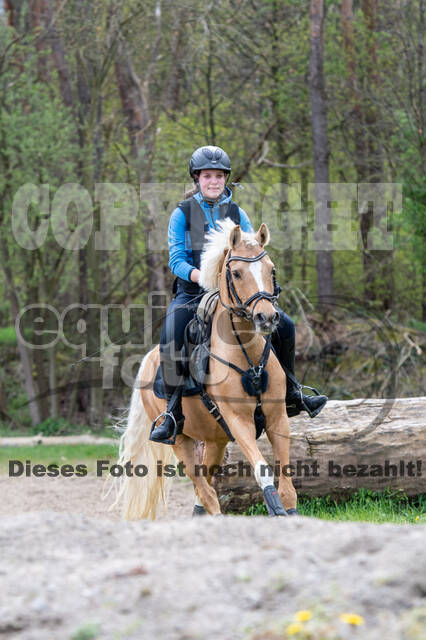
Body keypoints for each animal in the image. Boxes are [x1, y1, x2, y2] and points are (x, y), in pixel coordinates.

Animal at [115, 220, 298, 520]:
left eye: (271, 269)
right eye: (236, 273)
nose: (267, 318)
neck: (248, 356)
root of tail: (147, 360)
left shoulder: (277, 417)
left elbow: (286, 477)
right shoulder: (239, 421)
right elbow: (262, 471)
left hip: (216, 439)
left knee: (206, 485)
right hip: (180, 440)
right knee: (204, 488)